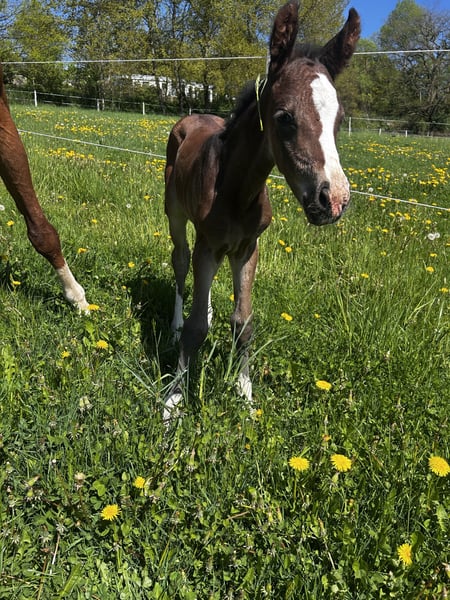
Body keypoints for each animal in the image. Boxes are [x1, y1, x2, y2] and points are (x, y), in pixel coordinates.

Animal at [163, 1, 361, 421]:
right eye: (284, 117)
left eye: (338, 120)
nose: (334, 200)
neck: (238, 192)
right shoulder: (208, 244)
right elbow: (196, 329)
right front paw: (174, 399)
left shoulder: (248, 248)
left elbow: (243, 323)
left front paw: (245, 394)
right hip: (175, 215)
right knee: (181, 262)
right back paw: (174, 325)